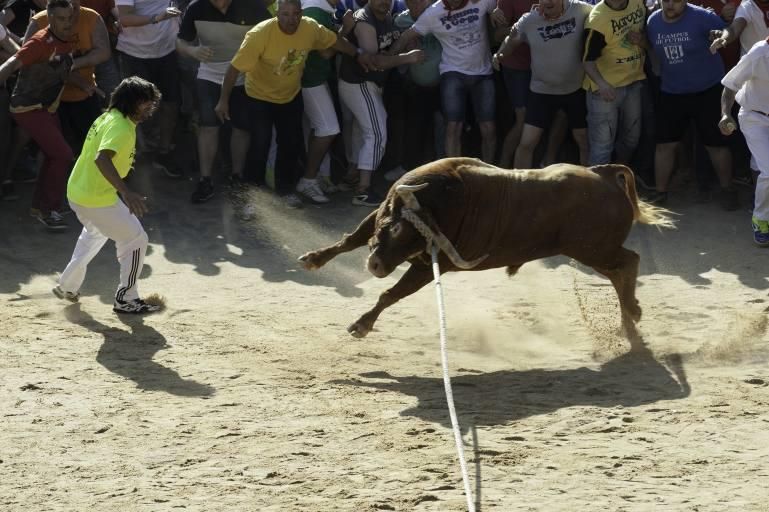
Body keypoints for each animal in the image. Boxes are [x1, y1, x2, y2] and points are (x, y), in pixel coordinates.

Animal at [296, 158, 668, 338]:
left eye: (407, 232)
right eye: (393, 225)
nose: (375, 265)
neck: (442, 201)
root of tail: (602, 174)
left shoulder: (431, 265)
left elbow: (391, 294)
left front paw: (361, 325)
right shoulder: (379, 218)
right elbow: (350, 239)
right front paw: (312, 259)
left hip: (593, 249)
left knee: (629, 262)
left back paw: (631, 313)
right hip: (591, 252)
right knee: (619, 272)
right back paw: (629, 318)